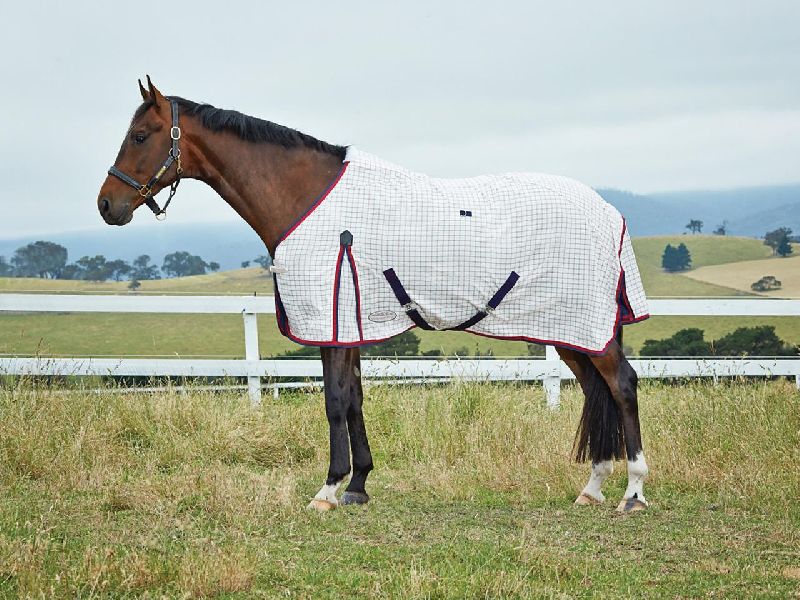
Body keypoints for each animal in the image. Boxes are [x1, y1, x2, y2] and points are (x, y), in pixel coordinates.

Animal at [97, 77, 650, 513]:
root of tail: (610, 213)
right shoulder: (351, 324)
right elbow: (356, 399)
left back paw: (633, 492)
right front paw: (358, 485)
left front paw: (328, 489)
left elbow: (335, 402)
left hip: (586, 330)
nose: (107, 205)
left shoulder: (330, 323)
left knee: (621, 384)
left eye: (140, 136)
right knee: (596, 390)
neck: (307, 198)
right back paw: (593, 487)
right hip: (567, 330)